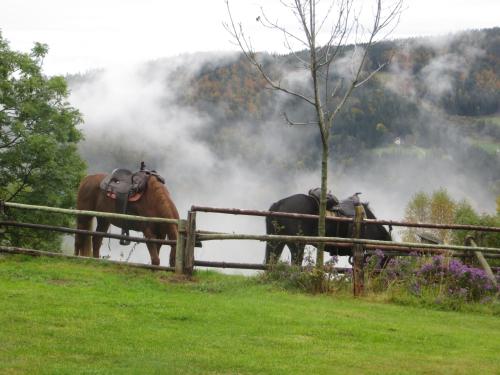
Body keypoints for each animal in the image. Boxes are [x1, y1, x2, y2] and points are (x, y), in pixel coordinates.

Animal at [264, 194, 392, 268]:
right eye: (386, 261)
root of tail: (279, 204)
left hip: (276, 242)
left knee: (271, 260)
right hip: (297, 244)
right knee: (296, 263)